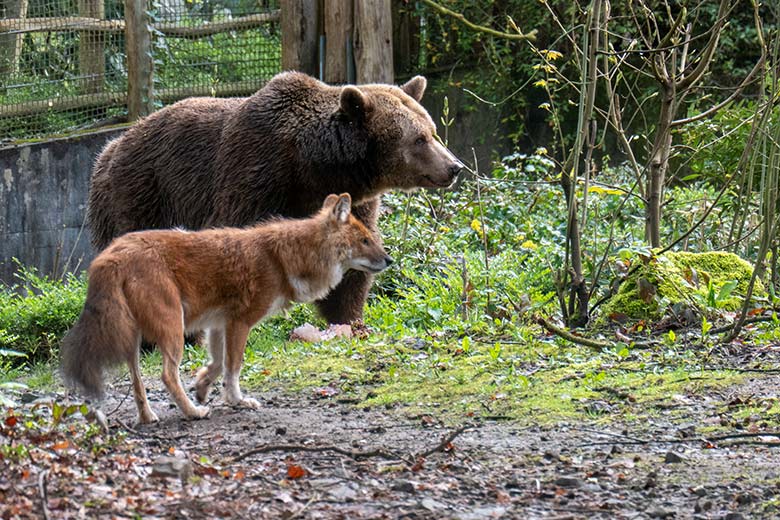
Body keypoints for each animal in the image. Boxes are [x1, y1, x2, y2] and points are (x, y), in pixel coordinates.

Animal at [87, 71, 464, 322]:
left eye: (432, 131)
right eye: (419, 139)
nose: (454, 166)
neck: (315, 167)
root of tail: (111, 146)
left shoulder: (355, 199)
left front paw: (348, 318)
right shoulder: (255, 171)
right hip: (140, 193)